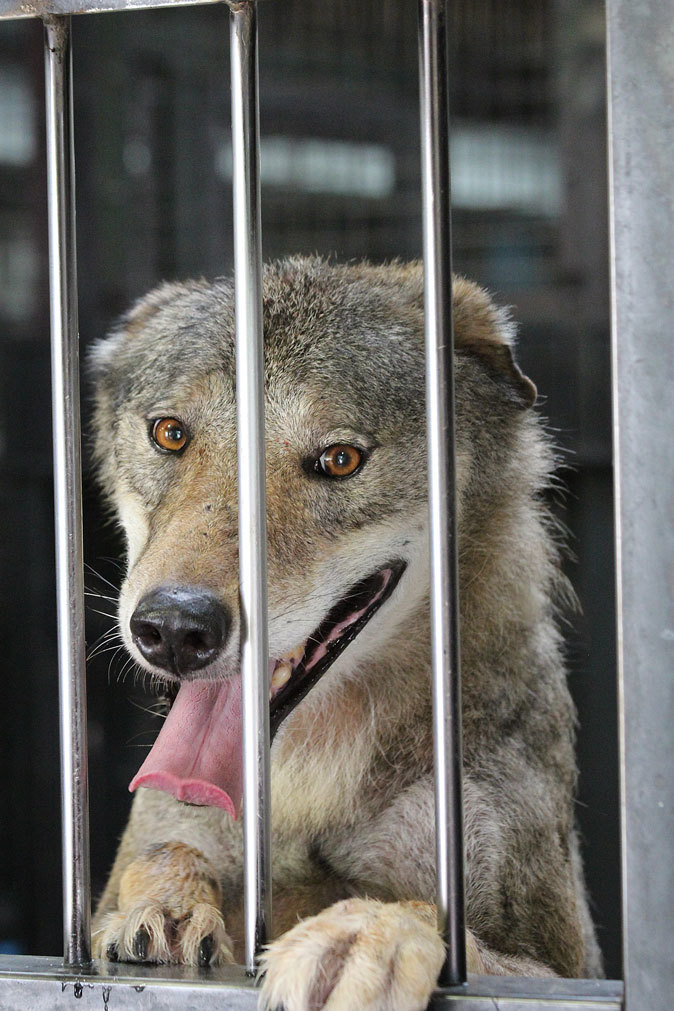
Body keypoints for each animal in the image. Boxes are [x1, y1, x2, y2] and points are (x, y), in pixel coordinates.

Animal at [88, 258, 602, 1011]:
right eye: (171, 434)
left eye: (338, 460)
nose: (176, 628)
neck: (312, 788)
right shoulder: (176, 830)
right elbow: (167, 856)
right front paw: (165, 908)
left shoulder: (566, 965)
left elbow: (421, 912)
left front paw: (355, 937)